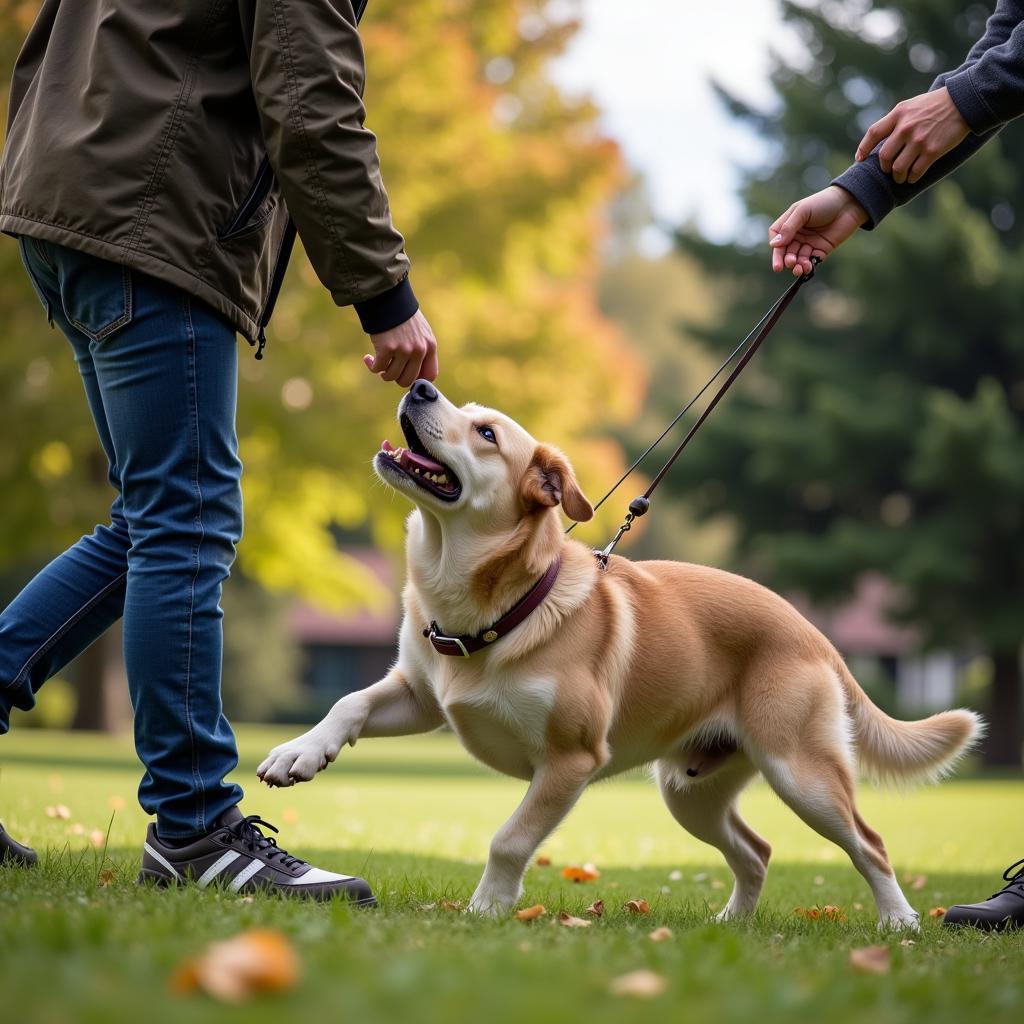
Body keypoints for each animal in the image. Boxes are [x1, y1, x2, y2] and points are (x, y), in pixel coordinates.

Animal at [258, 380, 983, 925]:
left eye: (487, 433)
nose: (420, 385)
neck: (494, 607)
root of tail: (813, 633)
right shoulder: (420, 695)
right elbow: (349, 702)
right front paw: (299, 753)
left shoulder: (569, 762)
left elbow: (509, 839)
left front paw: (489, 908)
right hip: (690, 790)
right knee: (757, 851)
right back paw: (733, 924)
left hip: (802, 774)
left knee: (870, 844)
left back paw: (899, 921)